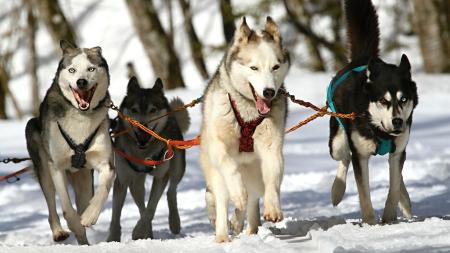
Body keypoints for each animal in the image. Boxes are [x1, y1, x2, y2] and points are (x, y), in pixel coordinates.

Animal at [24, 40, 115, 244]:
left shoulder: (106, 163)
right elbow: (66, 207)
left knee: (83, 201)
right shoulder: (57, 166)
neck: (80, 116)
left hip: (84, 180)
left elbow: (102, 190)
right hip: (43, 167)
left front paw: (89, 216)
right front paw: (74, 223)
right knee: (51, 204)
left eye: (91, 68)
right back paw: (59, 231)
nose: (81, 82)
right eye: (72, 70)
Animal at [107, 76, 190, 241]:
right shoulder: (122, 180)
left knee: (171, 191)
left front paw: (139, 231)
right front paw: (113, 238)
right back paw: (149, 232)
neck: (143, 153)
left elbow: (151, 207)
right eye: (134, 110)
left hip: (177, 168)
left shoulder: (160, 177)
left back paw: (174, 222)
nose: (142, 126)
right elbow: (116, 215)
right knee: (140, 203)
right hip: (135, 183)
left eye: (153, 110)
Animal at [199, 16, 290, 242]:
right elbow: (230, 168)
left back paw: (248, 228)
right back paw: (223, 236)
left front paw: (273, 208)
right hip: (216, 176)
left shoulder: (272, 147)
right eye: (254, 68)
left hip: (255, 176)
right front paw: (238, 193)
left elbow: (273, 178)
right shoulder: (218, 147)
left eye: (275, 67)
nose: (269, 92)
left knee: (252, 202)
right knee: (222, 200)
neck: (248, 111)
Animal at [328, 0, 420, 224]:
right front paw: (370, 222)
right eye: (383, 100)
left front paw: (389, 217)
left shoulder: (398, 150)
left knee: (398, 175)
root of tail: (362, 59)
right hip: (336, 142)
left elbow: (394, 186)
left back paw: (405, 202)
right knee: (344, 157)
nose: (397, 122)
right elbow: (364, 193)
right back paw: (337, 190)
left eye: (403, 99)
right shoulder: (360, 155)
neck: (379, 130)